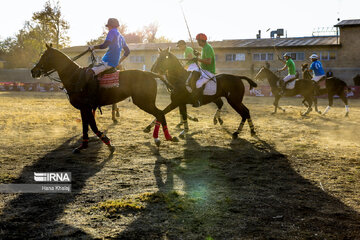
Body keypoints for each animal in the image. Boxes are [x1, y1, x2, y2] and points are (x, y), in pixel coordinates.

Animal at [31, 44, 177, 153]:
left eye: (44, 56)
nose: (33, 71)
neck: (75, 77)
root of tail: (151, 73)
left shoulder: (86, 107)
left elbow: (93, 126)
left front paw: (108, 142)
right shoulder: (84, 108)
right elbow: (85, 126)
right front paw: (82, 146)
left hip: (143, 101)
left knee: (160, 113)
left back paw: (163, 137)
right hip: (147, 101)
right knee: (160, 113)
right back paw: (162, 137)